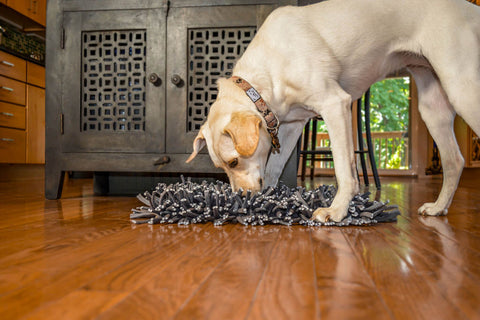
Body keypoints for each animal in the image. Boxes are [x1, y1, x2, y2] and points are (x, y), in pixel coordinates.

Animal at [186, 0, 480, 222]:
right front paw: (269, 200)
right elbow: (272, 168)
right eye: (221, 167)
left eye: (234, 162)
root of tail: (470, 8)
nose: (241, 198)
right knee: (454, 161)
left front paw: (337, 211)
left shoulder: (335, 104)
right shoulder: (290, 126)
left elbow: (343, 168)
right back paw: (438, 207)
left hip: (463, 90)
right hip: (433, 109)